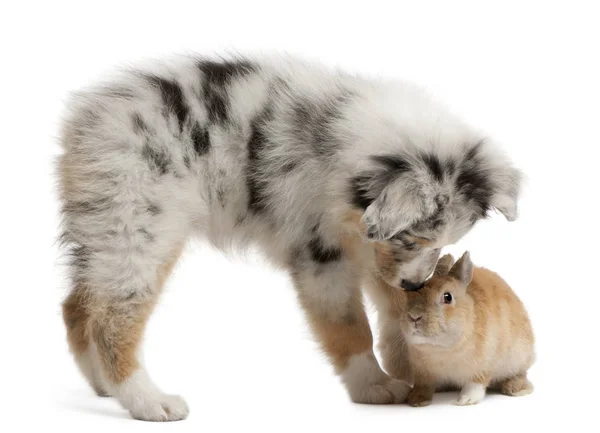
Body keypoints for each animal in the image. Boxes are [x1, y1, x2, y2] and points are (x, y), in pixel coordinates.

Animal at [370, 250, 536, 404]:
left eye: (447, 297)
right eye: (410, 295)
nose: (414, 316)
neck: (442, 349)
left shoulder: (483, 365)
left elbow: (475, 384)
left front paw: (465, 400)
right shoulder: (423, 372)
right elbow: (423, 386)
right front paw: (416, 400)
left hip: (519, 358)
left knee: (520, 374)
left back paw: (514, 388)